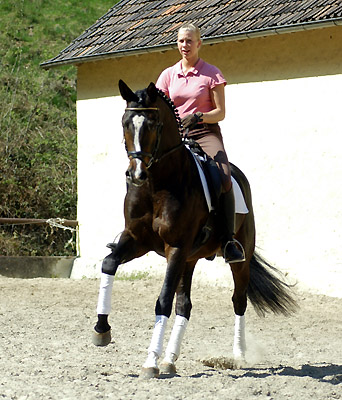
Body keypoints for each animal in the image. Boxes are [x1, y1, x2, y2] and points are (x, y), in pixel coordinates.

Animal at [92, 80, 298, 378]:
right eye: (125, 123)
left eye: (153, 124)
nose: (136, 174)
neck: (158, 185)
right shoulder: (137, 240)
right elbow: (109, 264)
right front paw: (101, 330)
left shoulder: (176, 247)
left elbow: (163, 300)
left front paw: (150, 362)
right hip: (188, 259)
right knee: (185, 305)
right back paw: (170, 360)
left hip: (235, 258)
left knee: (238, 300)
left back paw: (237, 354)